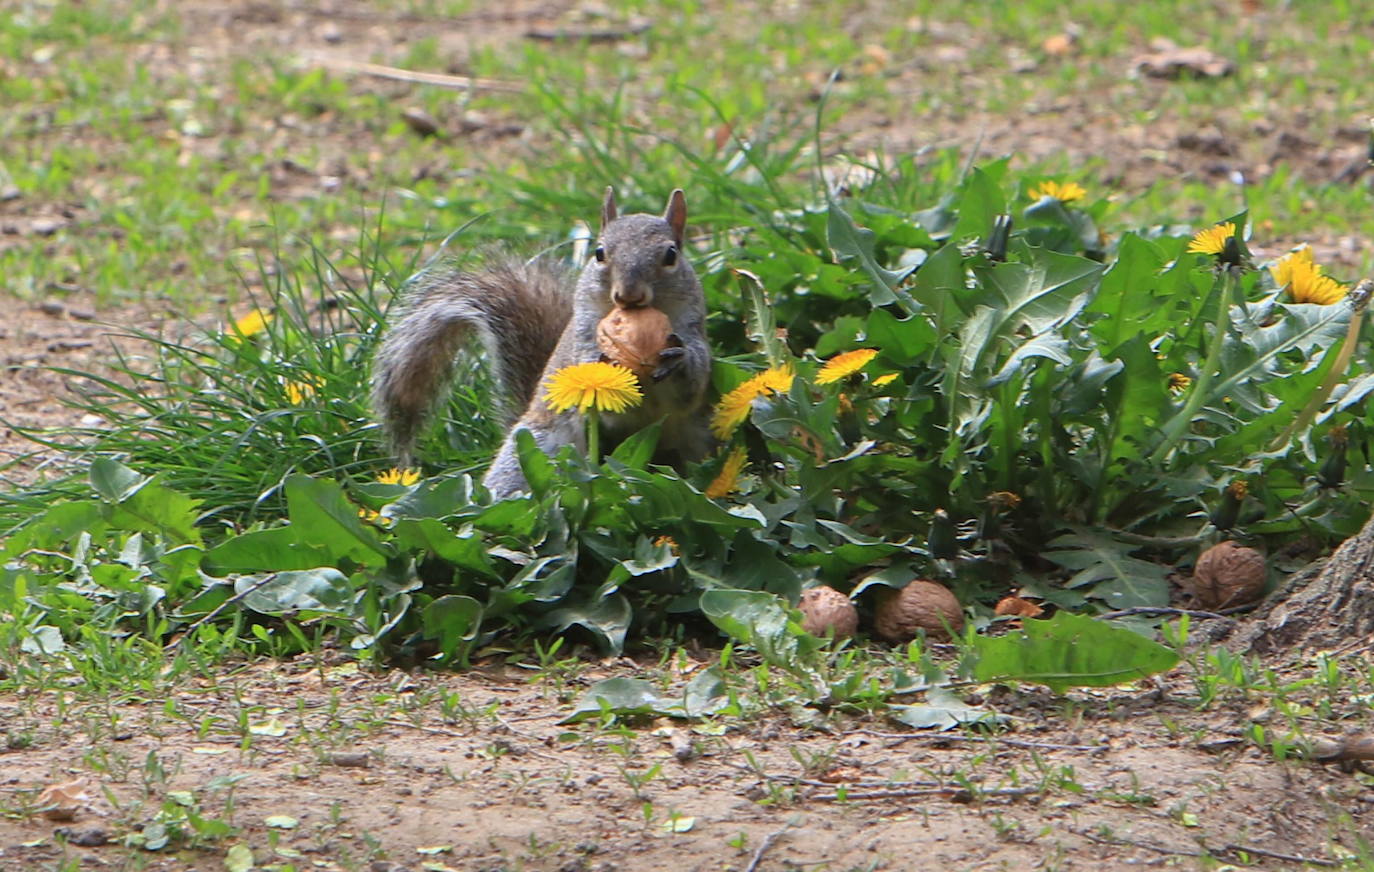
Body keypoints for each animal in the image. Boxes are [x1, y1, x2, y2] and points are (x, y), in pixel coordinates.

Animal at [370, 186, 714, 494]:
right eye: (599, 253)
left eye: (671, 254)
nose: (629, 295)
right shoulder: (582, 336)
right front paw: (606, 366)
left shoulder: (692, 329)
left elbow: (690, 388)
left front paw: (679, 357)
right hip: (534, 448)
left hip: (701, 440)